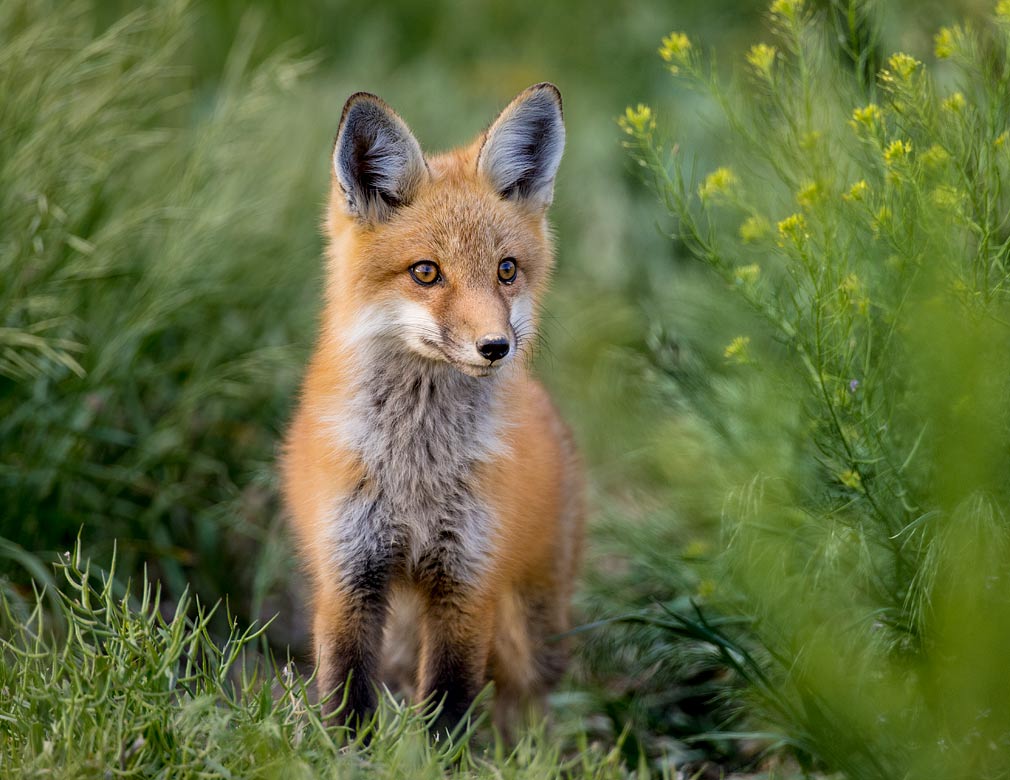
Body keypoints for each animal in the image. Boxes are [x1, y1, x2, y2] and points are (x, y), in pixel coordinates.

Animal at [281, 82, 584, 736]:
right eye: (426, 272)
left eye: (506, 270)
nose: (496, 347)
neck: (417, 470)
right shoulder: (349, 575)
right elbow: (347, 698)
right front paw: (348, 752)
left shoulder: (467, 582)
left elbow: (448, 705)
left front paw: (439, 752)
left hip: (532, 627)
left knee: (526, 701)